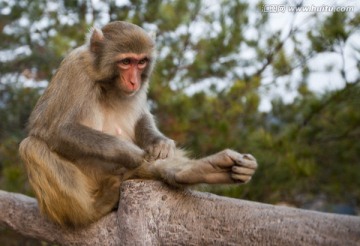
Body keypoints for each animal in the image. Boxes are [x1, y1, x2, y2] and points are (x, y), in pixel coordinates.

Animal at [18, 21, 258, 229]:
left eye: (141, 61)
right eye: (126, 62)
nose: (134, 81)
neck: (107, 84)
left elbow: (142, 117)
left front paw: (160, 143)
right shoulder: (74, 69)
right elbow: (56, 130)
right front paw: (130, 152)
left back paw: (199, 170)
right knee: (32, 147)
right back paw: (92, 210)